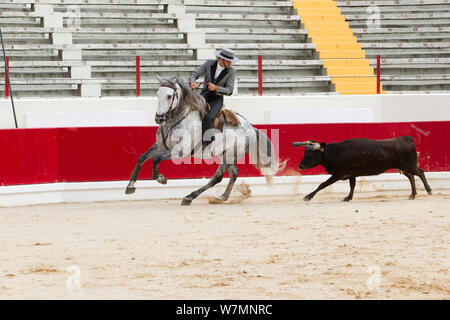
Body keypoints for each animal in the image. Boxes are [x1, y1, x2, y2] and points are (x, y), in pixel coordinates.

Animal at [125, 75, 284, 205]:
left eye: (169, 96)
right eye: (158, 94)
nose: (159, 118)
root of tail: (251, 127)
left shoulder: (181, 151)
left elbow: (156, 159)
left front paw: (160, 178)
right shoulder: (161, 145)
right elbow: (142, 157)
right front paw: (130, 186)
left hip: (230, 155)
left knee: (218, 177)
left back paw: (189, 197)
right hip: (225, 154)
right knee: (234, 173)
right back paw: (221, 197)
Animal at [292, 136, 432, 201]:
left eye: (310, 155)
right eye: (305, 153)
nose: (300, 166)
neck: (334, 153)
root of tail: (406, 138)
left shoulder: (338, 174)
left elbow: (322, 184)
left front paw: (308, 197)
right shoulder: (351, 175)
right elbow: (352, 186)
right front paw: (348, 198)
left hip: (409, 165)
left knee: (420, 172)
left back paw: (429, 190)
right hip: (403, 167)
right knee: (411, 176)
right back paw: (412, 195)